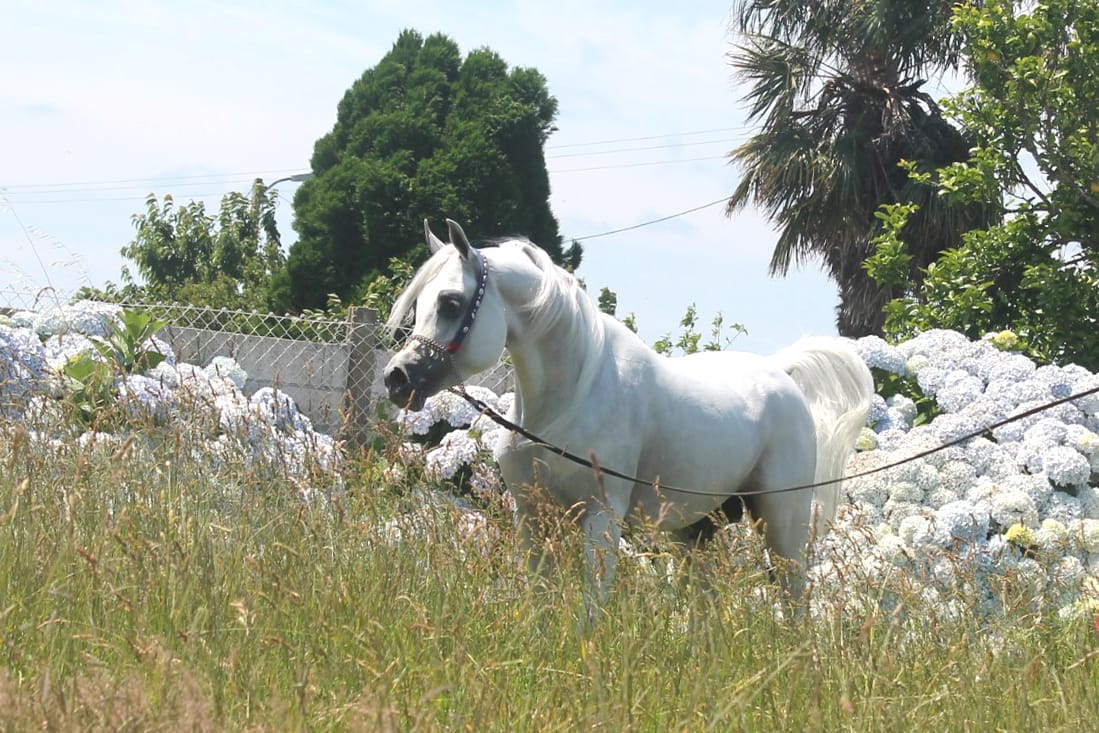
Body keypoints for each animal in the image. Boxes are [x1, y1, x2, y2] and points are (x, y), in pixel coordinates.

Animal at [383, 219, 874, 611]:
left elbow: (590, 607)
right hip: (695, 531)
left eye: (450, 302)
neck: (570, 401)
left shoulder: (603, 517)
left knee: (794, 599)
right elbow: (539, 600)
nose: (397, 378)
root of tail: (782, 373)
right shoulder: (532, 515)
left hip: (781, 521)